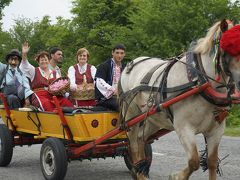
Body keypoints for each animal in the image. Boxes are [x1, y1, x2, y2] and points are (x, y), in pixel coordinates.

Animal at [119, 18, 240, 180]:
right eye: (230, 47)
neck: (199, 81)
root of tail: (130, 64)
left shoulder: (217, 129)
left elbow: (212, 162)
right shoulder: (184, 128)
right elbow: (194, 161)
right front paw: (177, 176)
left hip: (153, 119)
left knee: (140, 140)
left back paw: (140, 170)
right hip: (131, 116)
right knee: (133, 144)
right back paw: (139, 171)